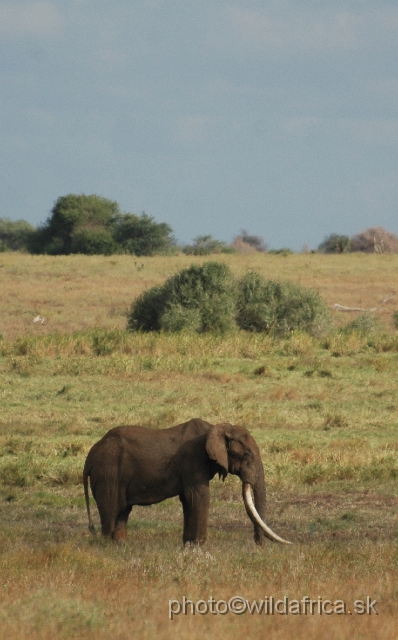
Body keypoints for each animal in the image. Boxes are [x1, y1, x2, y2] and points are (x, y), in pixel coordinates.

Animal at [82, 420, 290, 544]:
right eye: (246, 454)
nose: (258, 545)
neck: (216, 428)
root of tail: (90, 456)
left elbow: (188, 500)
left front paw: (188, 546)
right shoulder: (194, 460)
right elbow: (198, 497)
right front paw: (199, 546)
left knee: (123, 512)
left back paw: (120, 545)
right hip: (108, 474)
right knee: (111, 512)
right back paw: (107, 545)